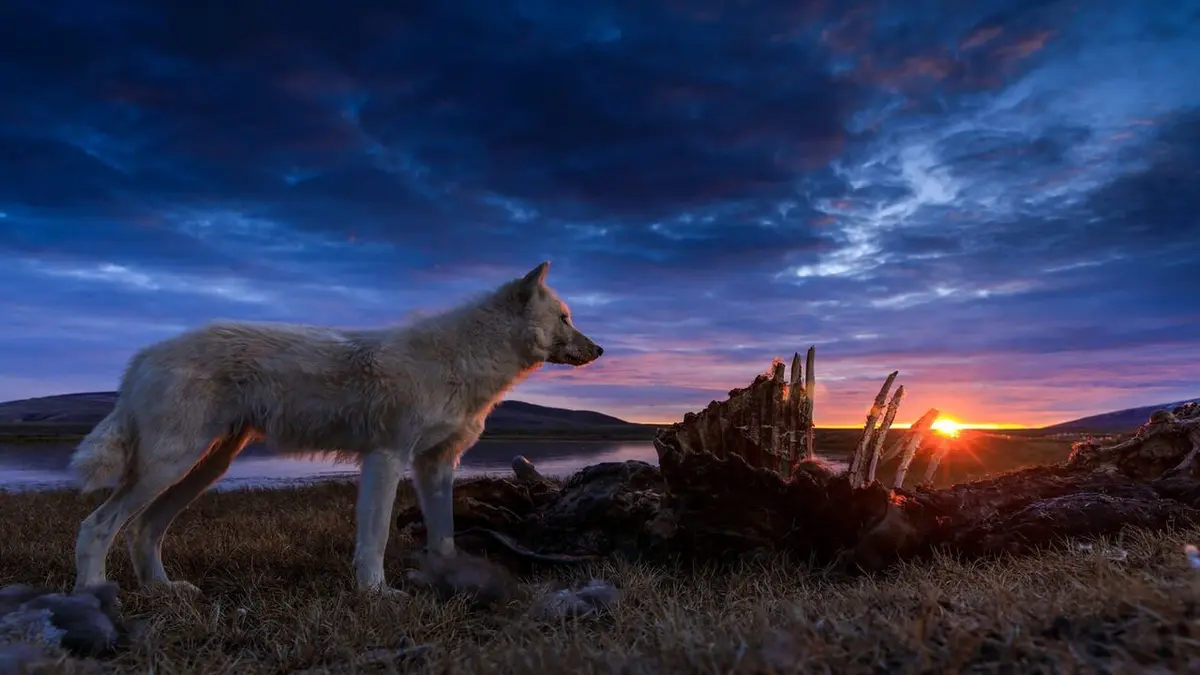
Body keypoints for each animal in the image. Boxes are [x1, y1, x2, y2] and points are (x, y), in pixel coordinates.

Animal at [69, 261, 603, 596]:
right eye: (564, 318)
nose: (599, 351)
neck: (467, 360)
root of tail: (143, 356)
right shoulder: (387, 458)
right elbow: (376, 539)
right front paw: (376, 594)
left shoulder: (436, 466)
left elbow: (445, 535)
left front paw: (452, 581)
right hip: (170, 466)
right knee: (97, 525)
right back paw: (94, 593)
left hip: (202, 469)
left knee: (144, 530)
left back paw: (164, 590)